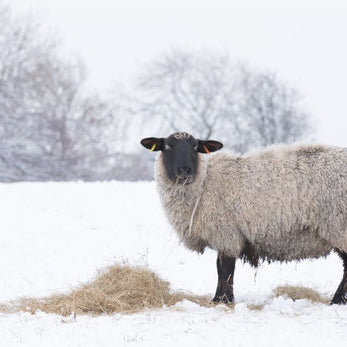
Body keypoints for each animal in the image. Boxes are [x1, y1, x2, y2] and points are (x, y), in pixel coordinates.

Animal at [140, 133, 347, 304]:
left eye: (195, 147)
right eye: (167, 147)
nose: (185, 171)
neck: (205, 182)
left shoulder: (226, 233)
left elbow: (225, 270)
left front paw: (225, 300)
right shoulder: (224, 236)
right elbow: (219, 268)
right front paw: (218, 299)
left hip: (338, 226)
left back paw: (337, 300)